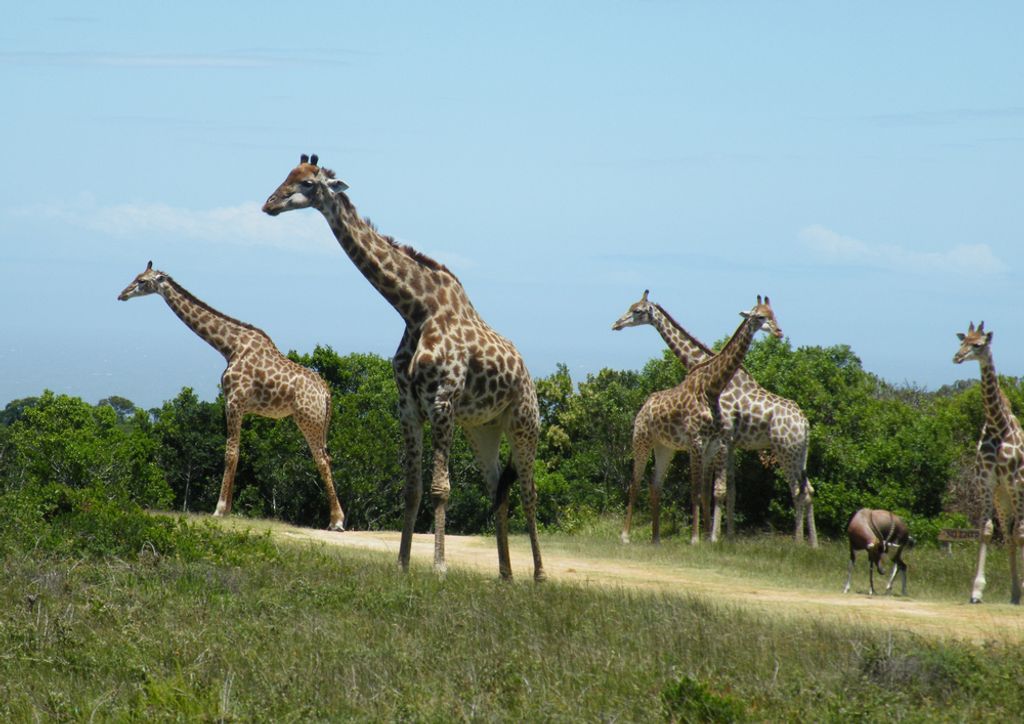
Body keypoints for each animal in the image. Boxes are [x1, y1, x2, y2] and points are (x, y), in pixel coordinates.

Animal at [118, 261, 346, 531]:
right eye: (136, 276)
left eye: (142, 281)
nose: (122, 294)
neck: (229, 347)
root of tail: (326, 393)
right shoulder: (240, 405)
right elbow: (236, 453)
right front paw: (227, 509)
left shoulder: (234, 400)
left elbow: (230, 453)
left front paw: (219, 510)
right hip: (316, 421)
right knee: (326, 457)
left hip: (308, 418)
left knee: (321, 459)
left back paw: (337, 521)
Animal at [262, 154, 545, 581]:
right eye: (287, 175)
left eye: (308, 183)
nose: (270, 204)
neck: (416, 310)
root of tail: (528, 375)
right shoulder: (408, 405)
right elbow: (412, 489)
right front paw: (402, 563)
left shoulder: (442, 402)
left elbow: (441, 488)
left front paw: (439, 567)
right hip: (483, 428)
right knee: (499, 487)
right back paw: (506, 574)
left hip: (523, 422)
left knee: (528, 490)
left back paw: (539, 575)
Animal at [613, 290, 817, 546]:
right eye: (762, 316)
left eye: (637, 310)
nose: (617, 324)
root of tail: (805, 423)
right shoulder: (725, 444)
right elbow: (726, 490)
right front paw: (722, 537)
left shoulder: (721, 441)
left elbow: (716, 490)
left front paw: (713, 536)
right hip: (798, 453)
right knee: (807, 490)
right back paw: (812, 544)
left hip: (786, 450)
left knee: (798, 490)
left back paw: (800, 542)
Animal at [953, 321, 1024, 604]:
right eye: (962, 341)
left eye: (978, 344)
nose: (957, 357)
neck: (997, 425)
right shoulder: (988, 482)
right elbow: (986, 530)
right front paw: (976, 590)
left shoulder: (1015, 482)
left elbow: (1020, 534)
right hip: (1003, 499)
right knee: (1008, 535)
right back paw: (1015, 593)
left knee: (1018, 533)